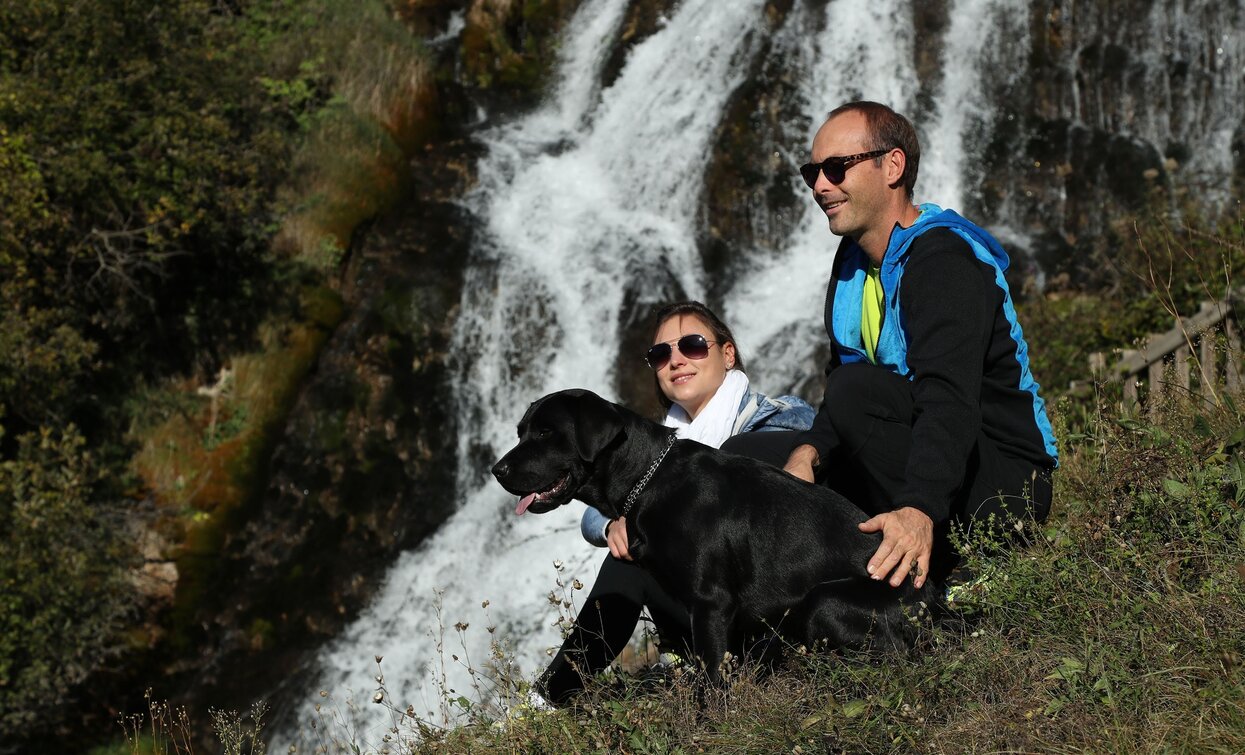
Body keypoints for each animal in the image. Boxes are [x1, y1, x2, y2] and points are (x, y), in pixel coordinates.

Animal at [490, 391, 931, 682]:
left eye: (546, 433)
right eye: (521, 431)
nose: (497, 470)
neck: (648, 478)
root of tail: (933, 603)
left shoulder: (711, 603)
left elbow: (712, 681)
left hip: (825, 602)